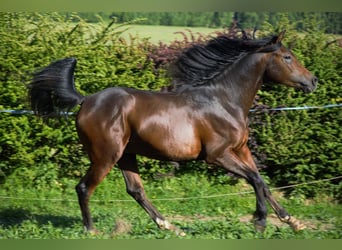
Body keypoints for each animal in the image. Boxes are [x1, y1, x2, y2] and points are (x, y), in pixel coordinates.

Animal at [28, 30, 318, 235]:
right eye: (288, 57)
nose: (313, 80)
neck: (224, 101)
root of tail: (86, 100)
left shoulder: (241, 150)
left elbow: (262, 183)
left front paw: (293, 222)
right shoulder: (217, 155)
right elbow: (256, 181)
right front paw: (259, 222)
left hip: (126, 155)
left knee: (135, 190)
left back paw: (171, 227)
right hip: (105, 156)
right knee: (84, 187)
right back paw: (91, 230)